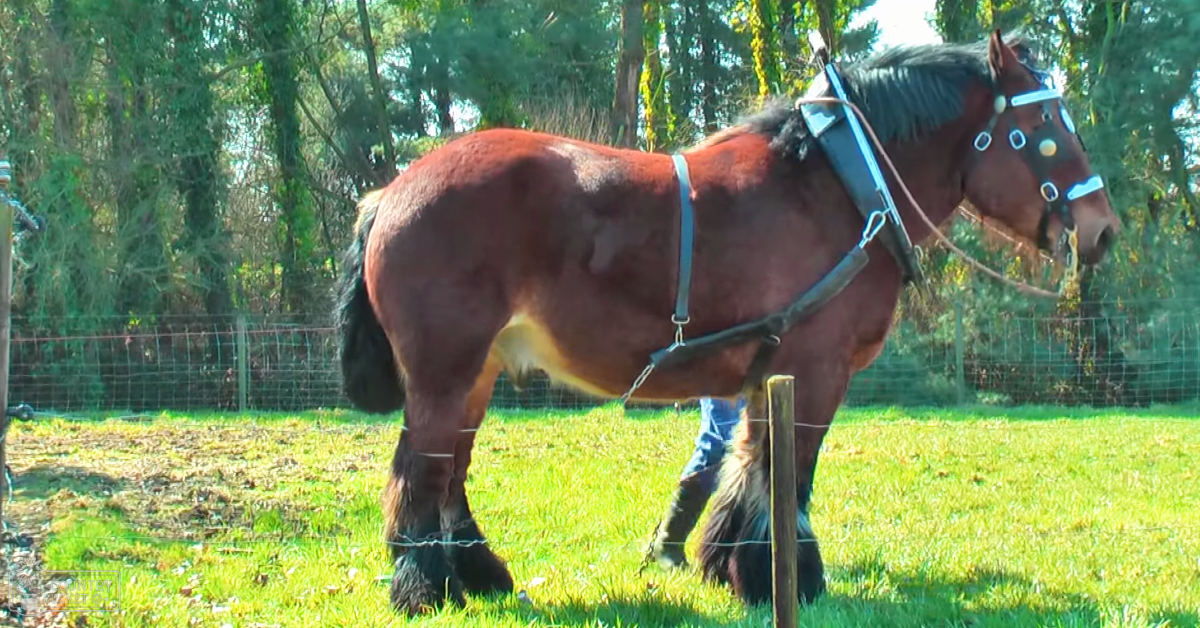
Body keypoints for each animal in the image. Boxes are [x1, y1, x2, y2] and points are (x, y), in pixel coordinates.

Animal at [334, 30, 1119, 615]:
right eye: (1043, 130)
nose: (1102, 227)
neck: (838, 188)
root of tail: (389, 192)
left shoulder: (766, 372)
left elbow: (751, 469)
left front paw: (734, 565)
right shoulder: (815, 369)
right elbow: (789, 475)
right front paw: (785, 579)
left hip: (477, 370)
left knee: (449, 473)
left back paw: (479, 578)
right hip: (444, 370)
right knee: (421, 473)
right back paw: (425, 590)